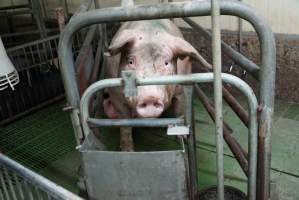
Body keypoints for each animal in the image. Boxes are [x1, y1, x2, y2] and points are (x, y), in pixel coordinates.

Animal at [103, 19, 204, 150]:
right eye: (130, 61)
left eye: (166, 63)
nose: (150, 97)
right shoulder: (115, 95)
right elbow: (125, 123)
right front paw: (127, 149)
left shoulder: (181, 89)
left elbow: (179, 111)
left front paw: (182, 138)